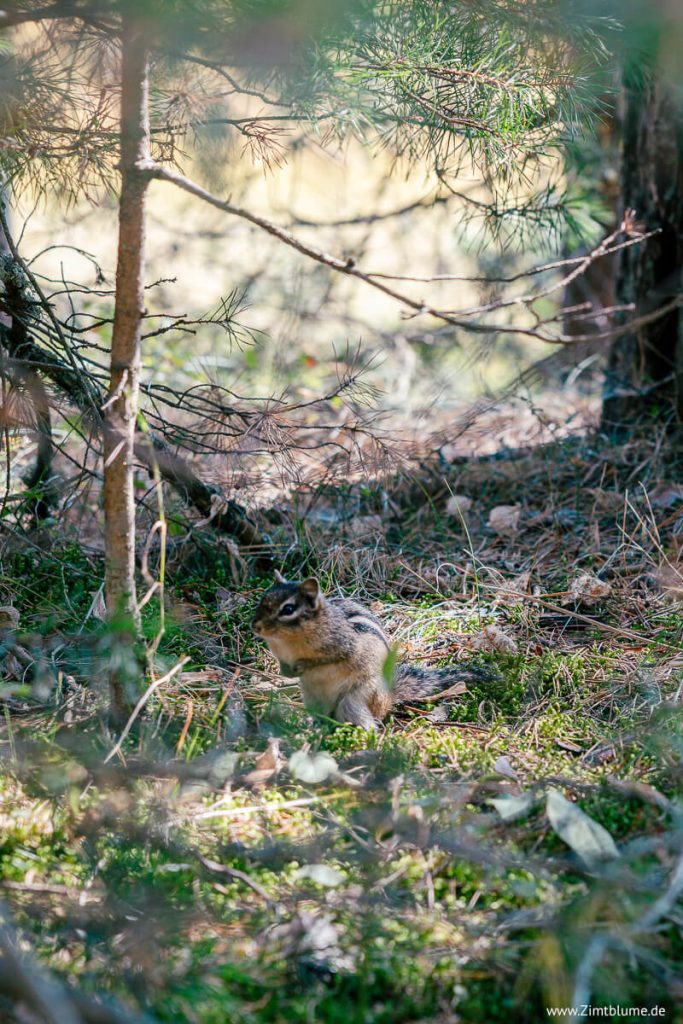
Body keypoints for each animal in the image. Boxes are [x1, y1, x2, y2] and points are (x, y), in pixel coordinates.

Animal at [251, 572, 482, 729]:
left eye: (288, 609)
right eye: (262, 600)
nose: (255, 626)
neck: (287, 642)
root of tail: (389, 697)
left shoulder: (344, 645)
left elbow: (330, 658)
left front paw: (303, 665)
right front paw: (286, 671)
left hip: (358, 697)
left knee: (365, 720)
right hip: (311, 698)